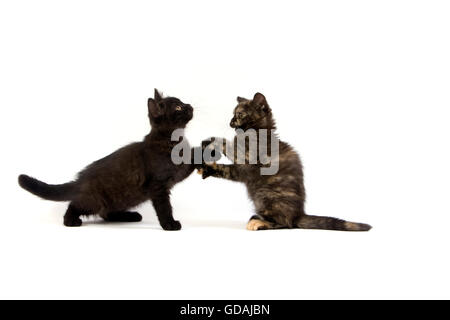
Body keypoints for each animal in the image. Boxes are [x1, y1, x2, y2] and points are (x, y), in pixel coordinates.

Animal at [18, 89, 197, 230]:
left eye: (183, 102)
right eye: (178, 107)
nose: (190, 106)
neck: (173, 142)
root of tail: (80, 180)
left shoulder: (179, 172)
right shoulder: (158, 186)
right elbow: (164, 207)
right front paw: (169, 224)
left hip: (125, 197)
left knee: (106, 213)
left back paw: (130, 216)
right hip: (95, 200)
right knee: (76, 205)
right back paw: (70, 220)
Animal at [202, 93, 370, 232]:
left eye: (240, 114)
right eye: (233, 114)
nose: (230, 121)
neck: (255, 133)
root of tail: (299, 214)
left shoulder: (247, 157)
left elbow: (228, 145)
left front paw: (210, 141)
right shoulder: (241, 171)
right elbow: (226, 170)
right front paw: (208, 168)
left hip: (267, 196)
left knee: (285, 223)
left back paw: (258, 223)